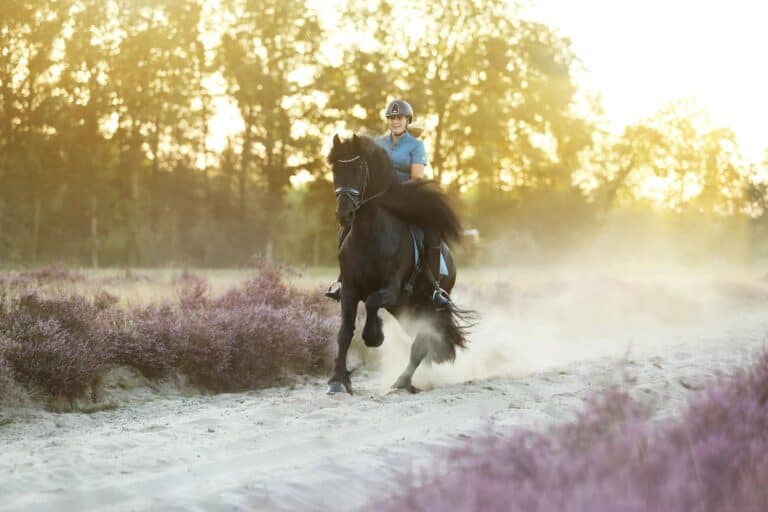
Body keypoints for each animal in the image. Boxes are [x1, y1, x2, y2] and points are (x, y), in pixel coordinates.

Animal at [326, 133, 475, 395]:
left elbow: (372, 302)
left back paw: (402, 382)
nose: (344, 215)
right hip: (404, 308)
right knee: (421, 339)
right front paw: (338, 381)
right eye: (335, 169)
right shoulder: (350, 290)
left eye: (358, 169)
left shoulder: (392, 289)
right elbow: (344, 333)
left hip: (426, 305)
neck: (369, 235)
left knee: (422, 341)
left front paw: (374, 335)